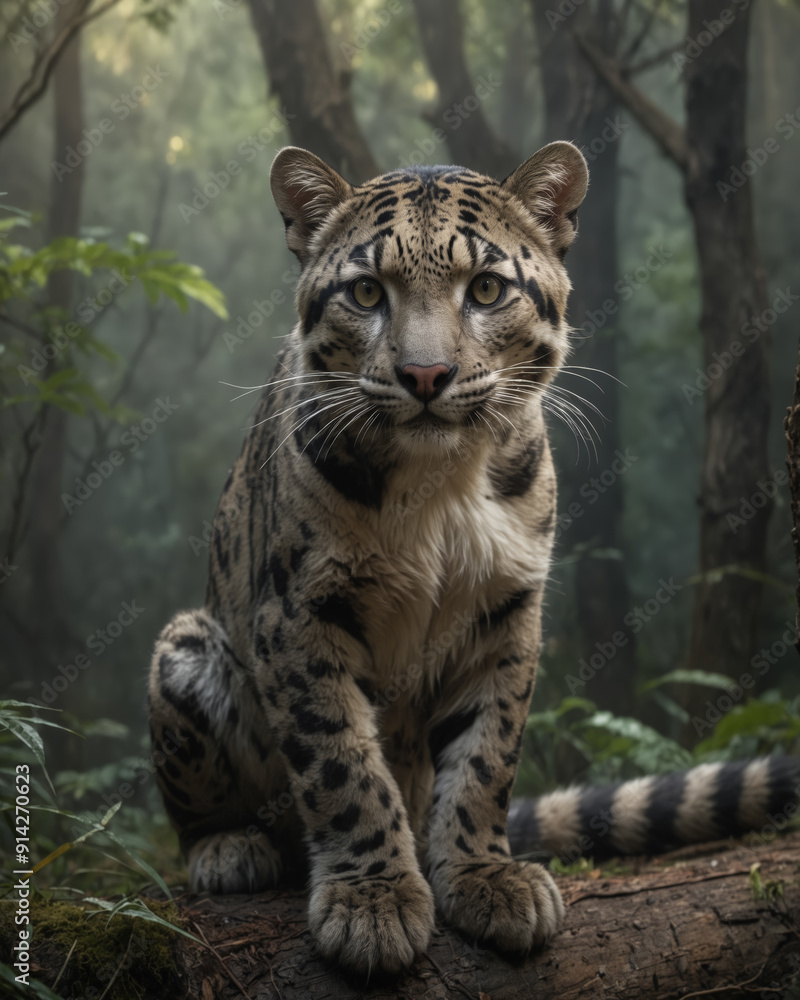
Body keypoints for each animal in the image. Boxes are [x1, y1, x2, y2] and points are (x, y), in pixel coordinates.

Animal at [148, 142, 800, 975]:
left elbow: (487, 758)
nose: (426, 376)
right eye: (366, 292)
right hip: (186, 645)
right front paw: (372, 901)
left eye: (487, 289)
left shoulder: (505, 614)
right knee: (207, 805)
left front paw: (486, 879)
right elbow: (342, 764)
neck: (441, 485)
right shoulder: (298, 616)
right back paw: (231, 850)